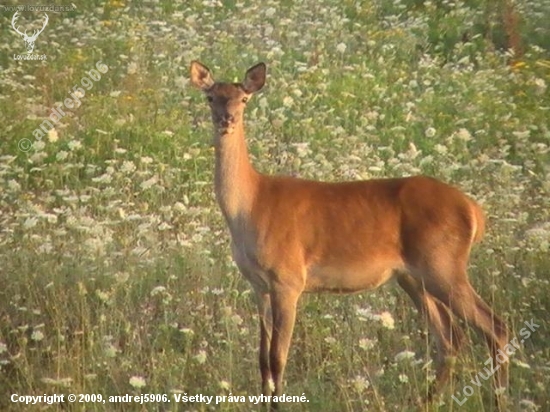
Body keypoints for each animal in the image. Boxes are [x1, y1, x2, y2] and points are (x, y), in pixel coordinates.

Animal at [190, 60, 508, 408]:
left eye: (244, 99)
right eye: (210, 97)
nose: (227, 120)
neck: (250, 206)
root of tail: (474, 210)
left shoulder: (288, 279)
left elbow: (277, 357)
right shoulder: (257, 284)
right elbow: (262, 359)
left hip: (443, 264)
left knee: (494, 326)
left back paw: (498, 399)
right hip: (413, 277)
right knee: (451, 338)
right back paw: (426, 402)